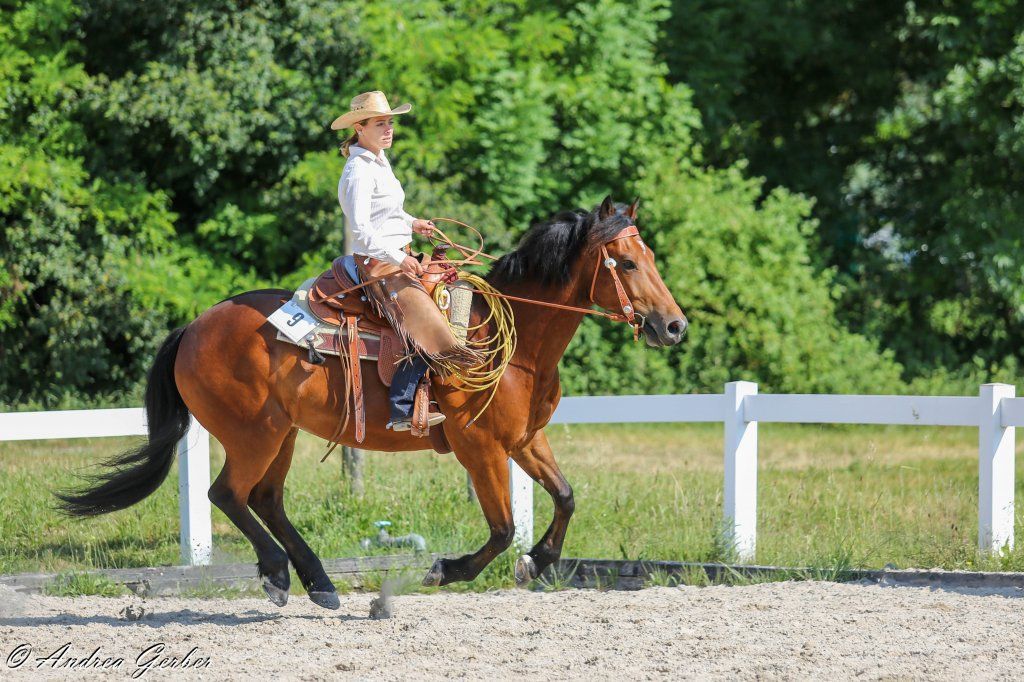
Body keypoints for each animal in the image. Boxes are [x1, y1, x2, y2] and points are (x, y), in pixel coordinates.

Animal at [56, 195, 687, 609]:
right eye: (627, 262)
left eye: (653, 256)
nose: (674, 326)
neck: (516, 343)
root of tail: (193, 326)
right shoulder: (479, 446)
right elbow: (503, 527)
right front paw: (444, 570)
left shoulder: (524, 440)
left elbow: (564, 497)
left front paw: (537, 562)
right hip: (253, 433)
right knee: (227, 494)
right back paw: (278, 576)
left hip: (281, 433)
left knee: (265, 498)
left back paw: (319, 582)